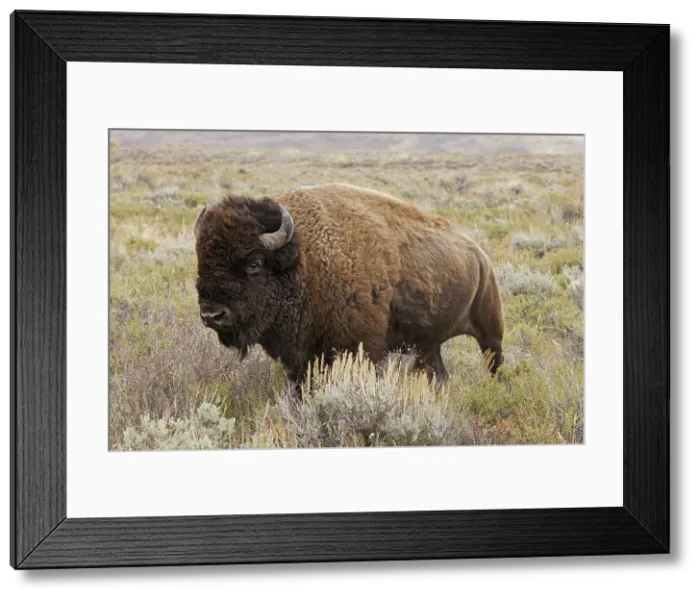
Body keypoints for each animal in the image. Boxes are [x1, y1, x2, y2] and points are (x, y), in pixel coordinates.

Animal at [193, 182, 505, 394]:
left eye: (254, 263)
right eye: (201, 260)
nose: (211, 315)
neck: (306, 260)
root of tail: (481, 256)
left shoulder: (364, 350)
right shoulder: (301, 358)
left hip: (490, 332)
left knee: (494, 364)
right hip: (428, 346)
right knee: (438, 374)